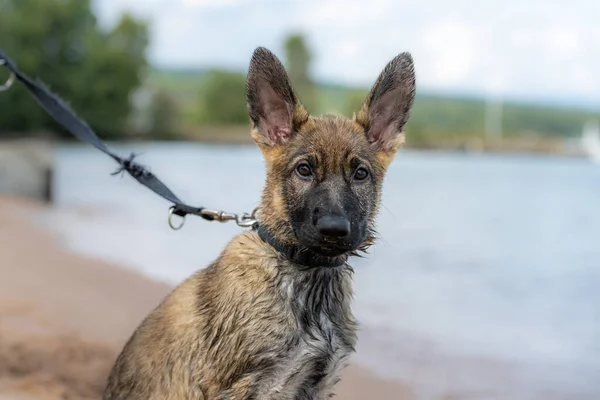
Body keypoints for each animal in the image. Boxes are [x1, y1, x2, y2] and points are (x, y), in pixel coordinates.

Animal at [103, 45, 414, 398]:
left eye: (360, 174)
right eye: (304, 170)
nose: (334, 230)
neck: (306, 273)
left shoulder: (318, 384)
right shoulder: (244, 385)